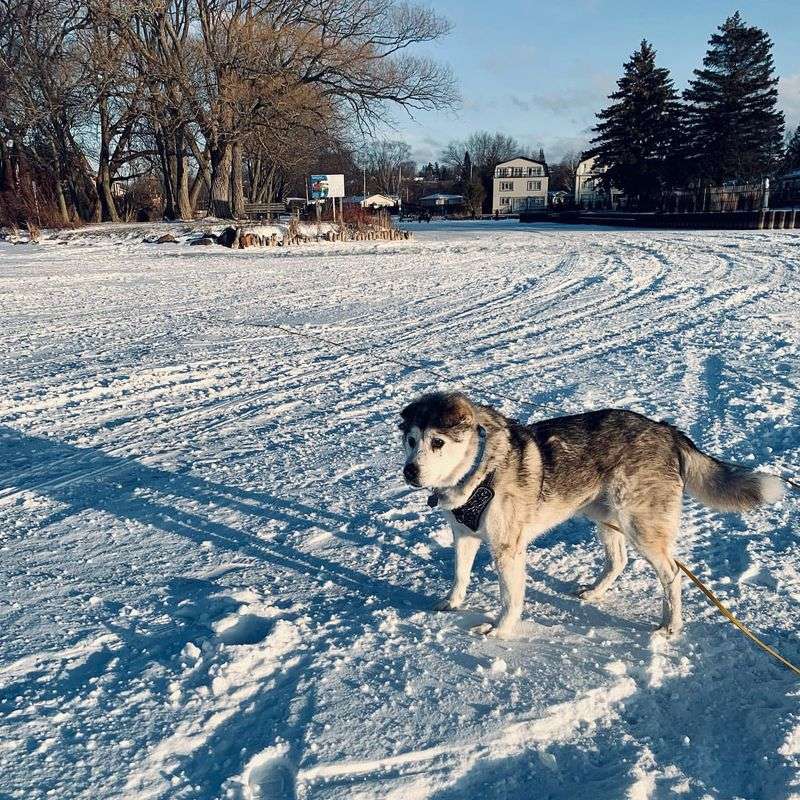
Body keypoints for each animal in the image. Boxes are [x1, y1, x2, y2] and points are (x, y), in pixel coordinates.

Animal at [396, 390, 784, 640]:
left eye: (438, 442)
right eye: (412, 441)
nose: (410, 472)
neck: (478, 468)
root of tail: (666, 430)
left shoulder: (507, 549)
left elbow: (510, 598)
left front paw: (500, 630)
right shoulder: (464, 535)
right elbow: (460, 575)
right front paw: (452, 603)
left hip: (640, 526)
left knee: (672, 575)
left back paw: (671, 625)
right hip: (606, 518)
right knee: (619, 560)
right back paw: (595, 593)